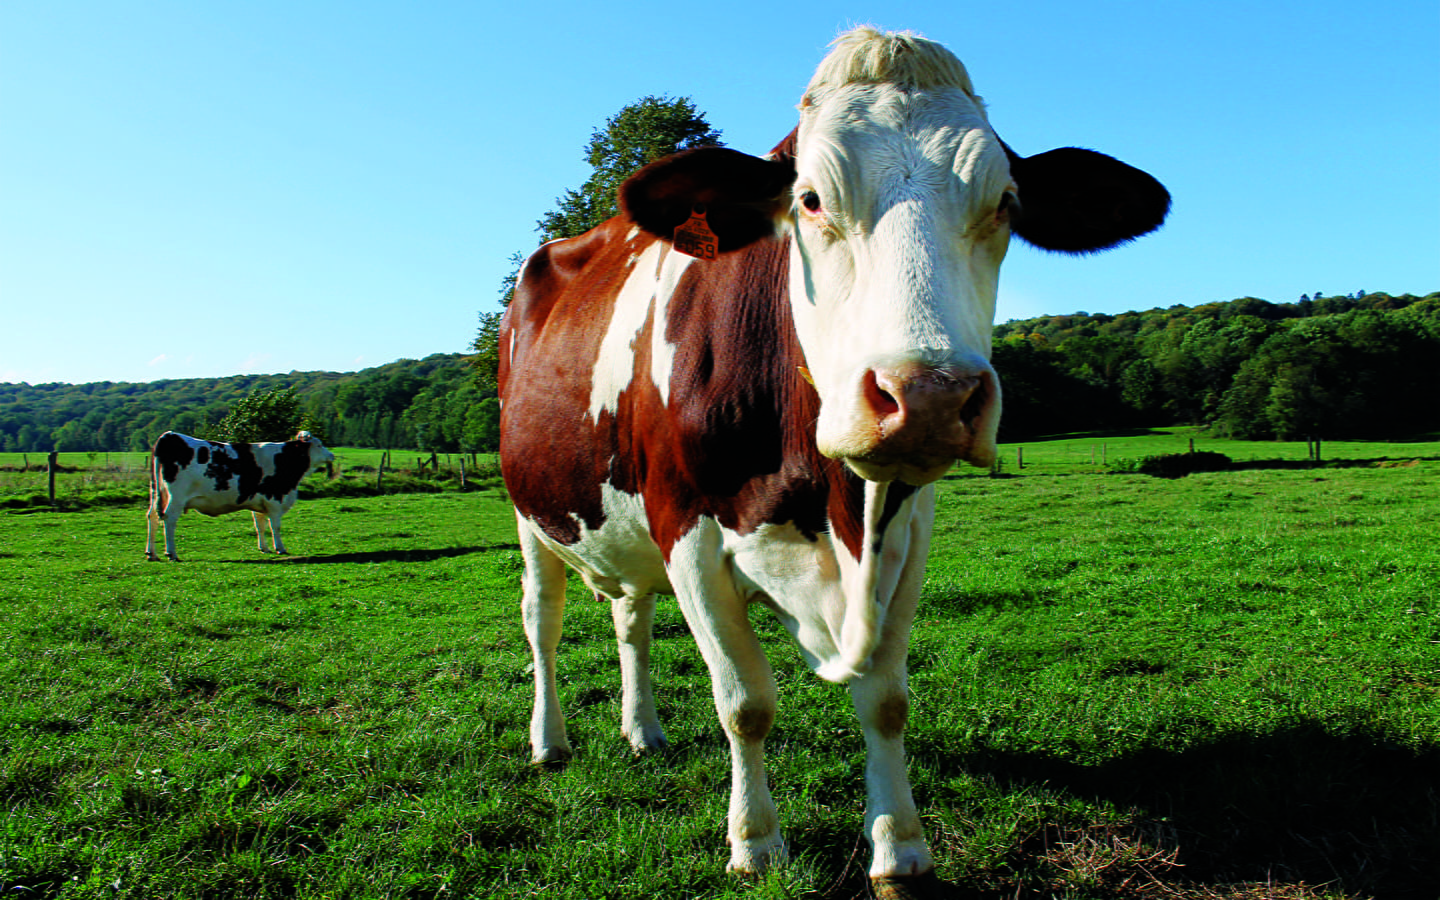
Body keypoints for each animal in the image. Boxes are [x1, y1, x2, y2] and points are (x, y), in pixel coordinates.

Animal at [147, 429, 335, 561]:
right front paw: (280, 548)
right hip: (176, 497)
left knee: (153, 516)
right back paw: (171, 553)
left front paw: (264, 548)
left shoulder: (260, 503)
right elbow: (275, 526)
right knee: (169, 519)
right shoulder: (274, 499)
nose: (332, 455)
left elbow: (260, 525)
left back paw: (151, 554)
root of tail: (169, 435)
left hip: (156, 492)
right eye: (319, 445)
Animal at [501, 28, 1163, 892]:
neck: (832, 504)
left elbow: (885, 699)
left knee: (630, 618)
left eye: (1006, 204)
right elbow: (745, 702)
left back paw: (643, 730)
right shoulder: (687, 530)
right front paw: (755, 843)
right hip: (530, 513)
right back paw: (549, 741)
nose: (929, 393)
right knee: (542, 623)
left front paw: (900, 848)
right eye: (811, 200)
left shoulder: (909, 533)